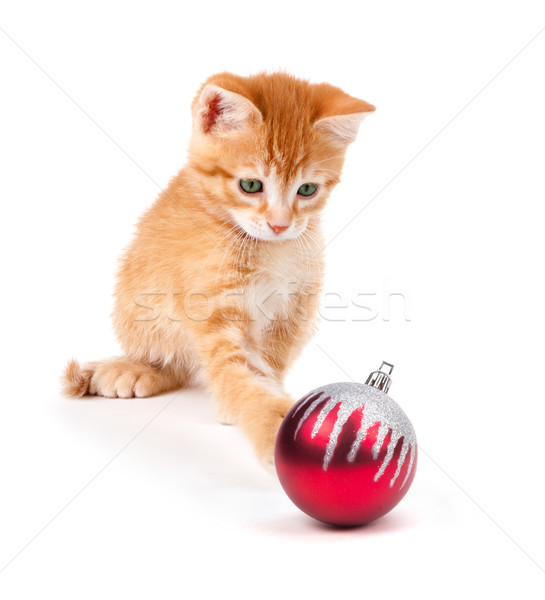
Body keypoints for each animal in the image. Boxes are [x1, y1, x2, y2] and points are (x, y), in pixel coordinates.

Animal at [61, 70, 372, 464]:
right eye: (251, 185)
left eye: (307, 190)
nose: (280, 225)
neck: (269, 249)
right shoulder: (212, 308)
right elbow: (238, 370)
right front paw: (271, 423)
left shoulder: (294, 308)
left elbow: (270, 362)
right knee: (174, 361)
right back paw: (136, 369)